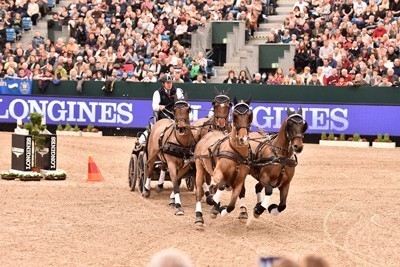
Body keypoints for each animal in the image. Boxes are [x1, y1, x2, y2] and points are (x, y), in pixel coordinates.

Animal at [192, 97, 252, 229]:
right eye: (235, 115)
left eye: (250, 115)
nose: (243, 139)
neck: (235, 153)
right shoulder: (218, 172)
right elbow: (221, 185)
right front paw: (214, 206)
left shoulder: (239, 181)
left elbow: (232, 204)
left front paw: (222, 209)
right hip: (199, 166)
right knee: (199, 191)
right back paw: (199, 217)